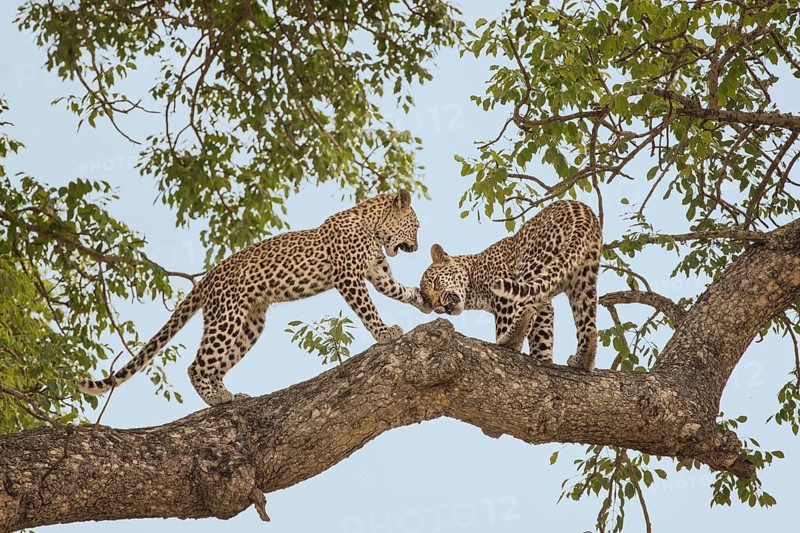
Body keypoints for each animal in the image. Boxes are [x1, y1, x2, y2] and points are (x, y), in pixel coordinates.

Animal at [79, 189, 431, 406]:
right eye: (415, 225)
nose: (415, 248)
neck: (373, 227)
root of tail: (207, 278)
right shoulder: (348, 276)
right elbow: (368, 309)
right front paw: (384, 333)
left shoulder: (377, 272)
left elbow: (396, 289)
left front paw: (422, 299)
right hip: (227, 317)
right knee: (196, 366)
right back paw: (216, 398)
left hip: (250, 324)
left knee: (216, 366)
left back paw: (230, 396)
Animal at [419, 199, 602, 370]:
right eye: (428, 301)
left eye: (436, 283)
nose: (440, 307)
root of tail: (583, 212)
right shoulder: (545, 303)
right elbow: (542, 333)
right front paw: (542, 359)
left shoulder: (504, 300)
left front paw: (513, 348)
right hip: (583, 280)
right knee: (589, 326)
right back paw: (582, 361)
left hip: (532, 265)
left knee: (527, 306)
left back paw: (507, 341)